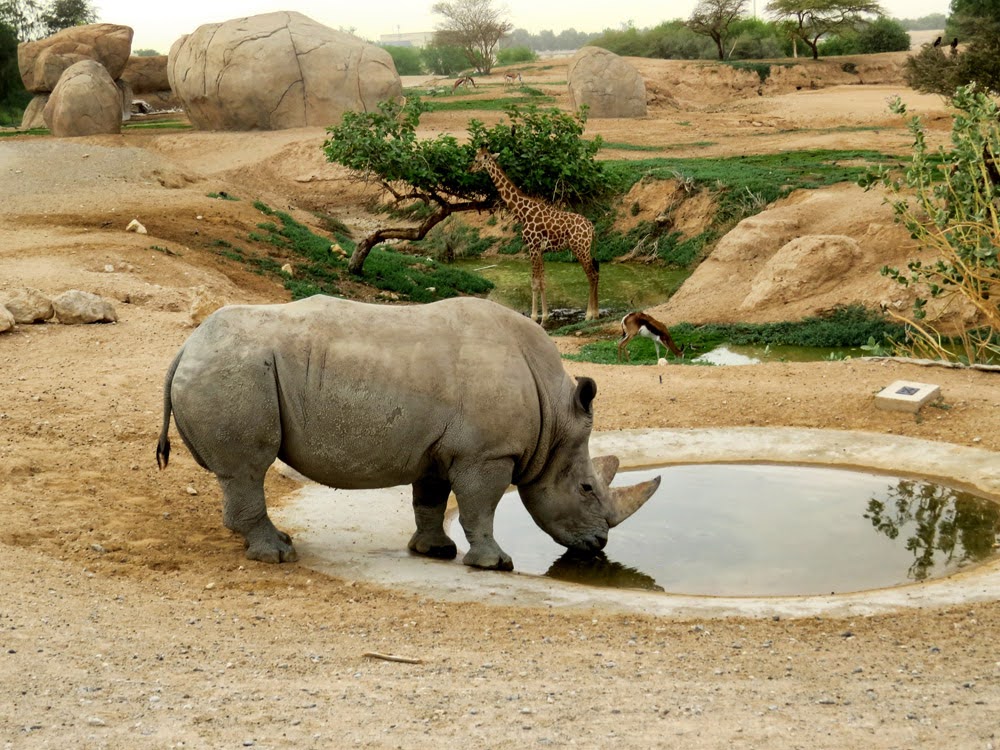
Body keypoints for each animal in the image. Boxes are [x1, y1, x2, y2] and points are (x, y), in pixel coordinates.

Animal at [472, 148, 596, 322]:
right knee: (595, 273)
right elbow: (543, 281)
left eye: (476, 160)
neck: (523, 211)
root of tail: (591, 227)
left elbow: (534, 282)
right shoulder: (540, 249)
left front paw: (534, 316)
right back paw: (596, 313)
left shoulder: (533, 246)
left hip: (580, 248)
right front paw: (545, 315)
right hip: (585, 248)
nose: (470, 169)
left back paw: (589, 315)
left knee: (591, 275)